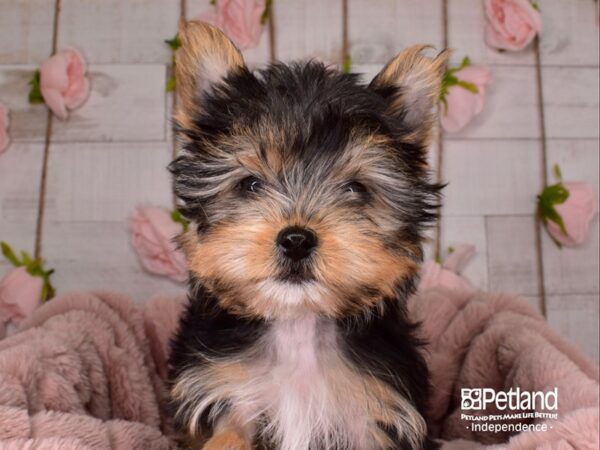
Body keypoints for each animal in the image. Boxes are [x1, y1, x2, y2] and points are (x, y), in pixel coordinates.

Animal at [166, 19, 448, 448]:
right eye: (250, 184)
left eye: (355, 189)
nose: (296, 240)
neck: (298, 324)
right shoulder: (227, 393)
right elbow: (226, 435)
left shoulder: (374, 411)